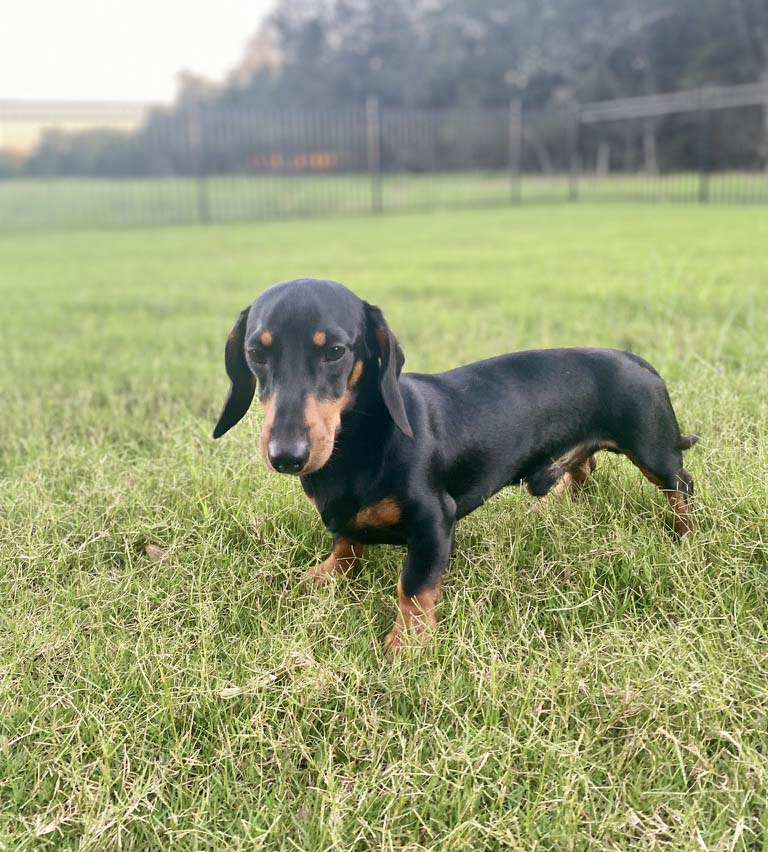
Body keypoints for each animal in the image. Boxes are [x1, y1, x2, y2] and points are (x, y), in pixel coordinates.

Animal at [213, 280, 700, 652]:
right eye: (257, 353)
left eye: (334, 350)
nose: (286, 455)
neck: (360, 444)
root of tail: (637, 360)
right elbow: (346, 544)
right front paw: (323, 575)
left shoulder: (434, 521)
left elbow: (414, 587)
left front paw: (407, 644)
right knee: (584, 469)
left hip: (654, 453)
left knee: (681, 486)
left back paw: (685, 536)